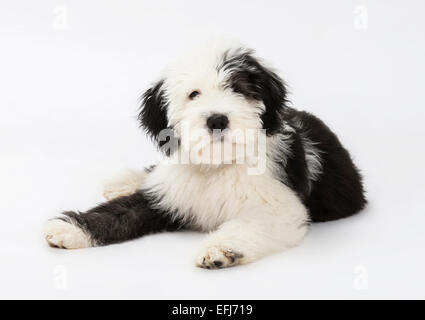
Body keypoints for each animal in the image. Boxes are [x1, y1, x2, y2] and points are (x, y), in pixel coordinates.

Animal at [44, 41, 366, 268]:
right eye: (194, 94)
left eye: (238, 89)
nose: (217, 119)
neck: (217, 164)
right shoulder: (166, 195)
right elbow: (119, 212)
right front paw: (68, 229)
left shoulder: (279, 208)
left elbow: (250, 224)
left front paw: (221, 249)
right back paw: (123, 181)